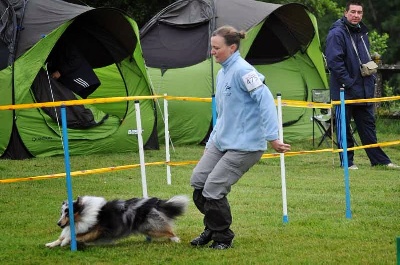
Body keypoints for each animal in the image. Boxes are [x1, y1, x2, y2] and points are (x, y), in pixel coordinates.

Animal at [46, 194, 190, 248]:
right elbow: (64, 236)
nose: (58, 224)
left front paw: (65, 242)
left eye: (68, 212)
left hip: (151, 228)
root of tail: (154, 202)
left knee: (169, 231)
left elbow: (73, 236)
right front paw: (51, 244)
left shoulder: (95, 231)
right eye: (61, 212)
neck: (83, 213)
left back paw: (176, 240)